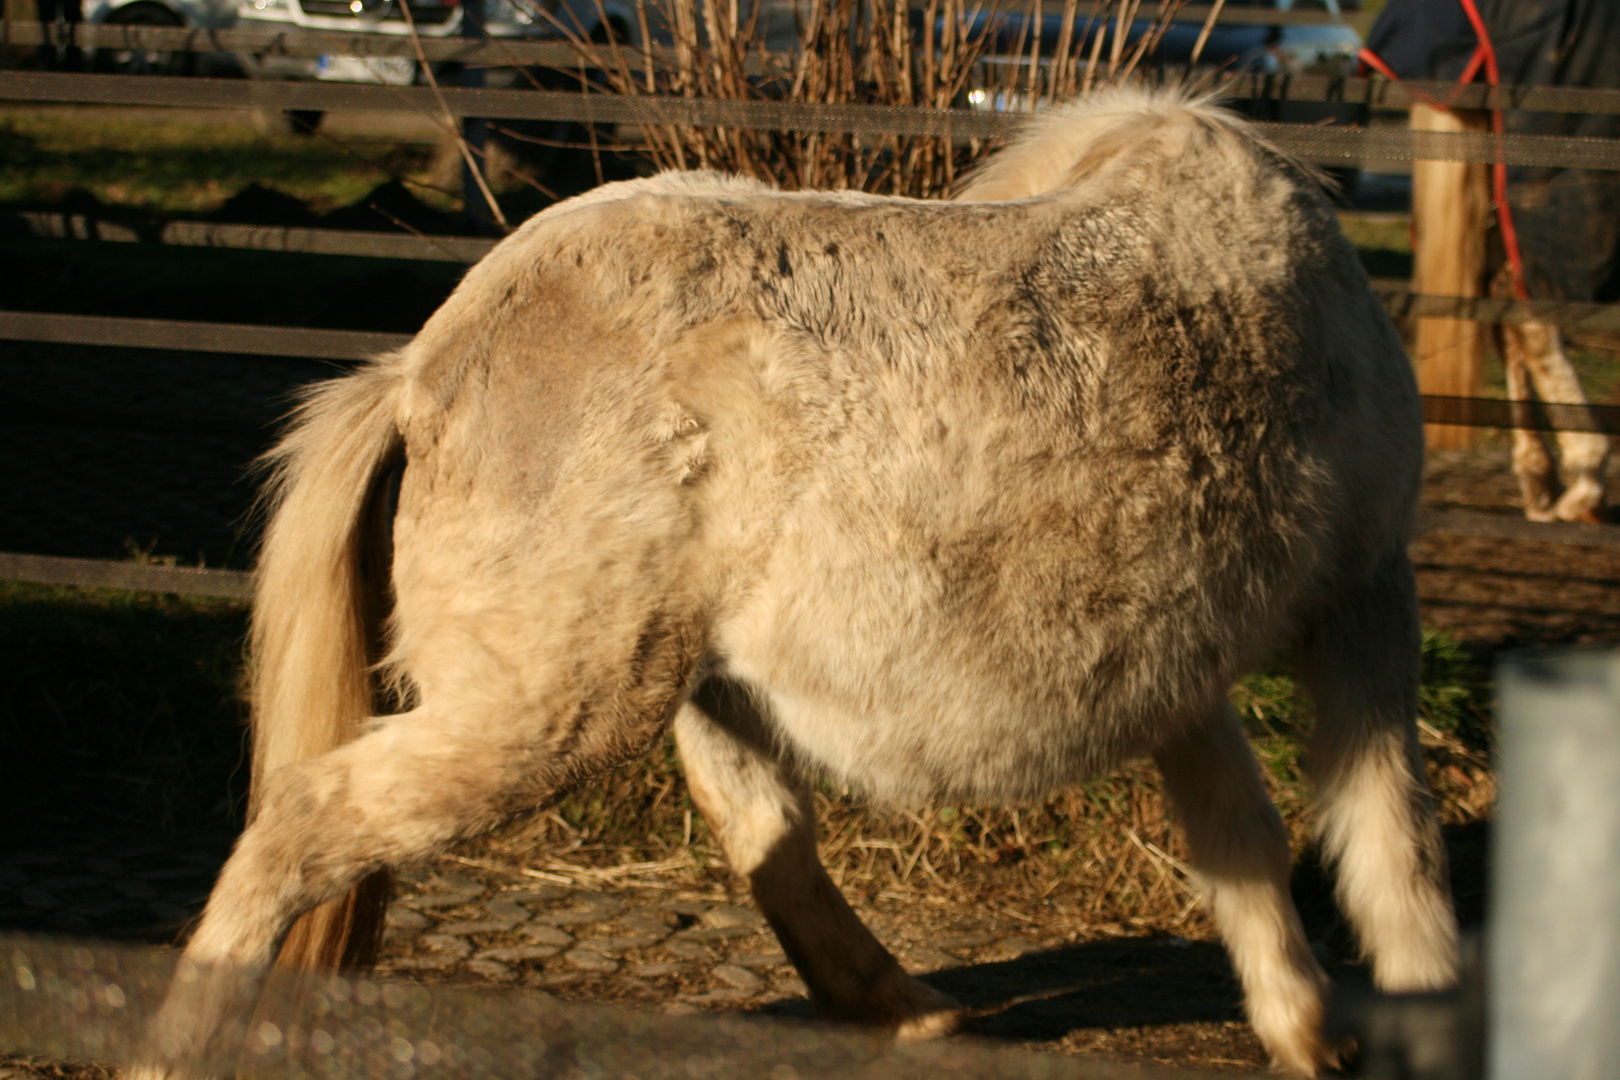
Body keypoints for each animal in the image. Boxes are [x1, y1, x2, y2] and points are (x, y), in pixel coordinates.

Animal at [136, 88, 1458, 1075]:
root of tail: (424, 367)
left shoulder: (1180, 660)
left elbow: (1246, 834)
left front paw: (1304, 1026)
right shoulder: (1364, 597)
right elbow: (1391, 838)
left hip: (688, 675)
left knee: (760, 827)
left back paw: (901, 1007)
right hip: (542, 710)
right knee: (304, 822)